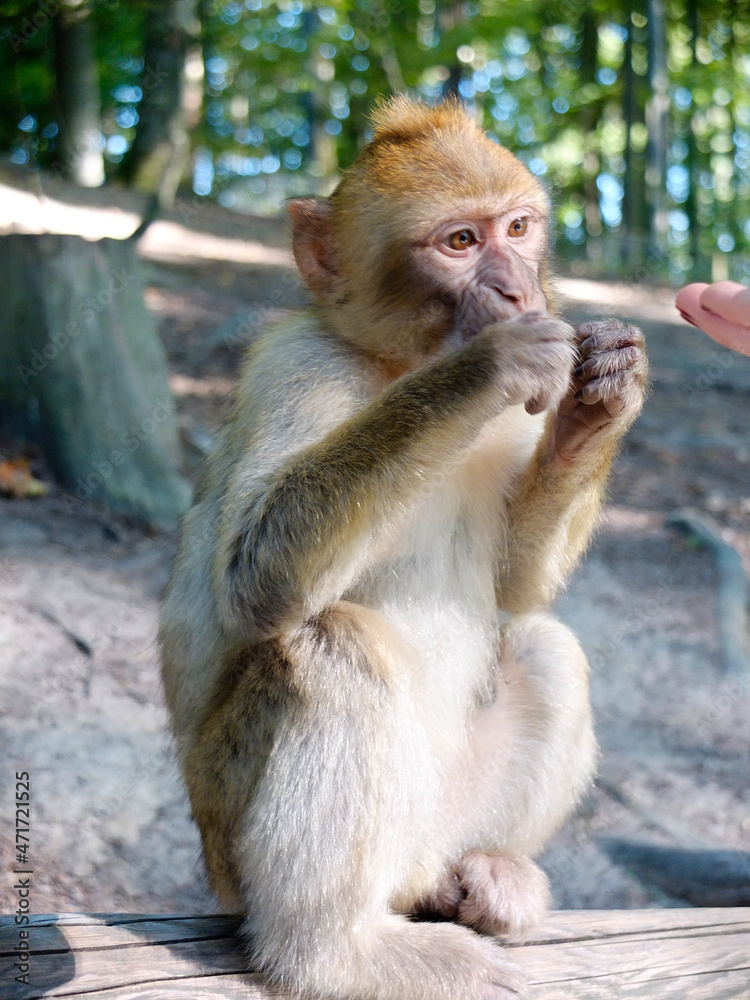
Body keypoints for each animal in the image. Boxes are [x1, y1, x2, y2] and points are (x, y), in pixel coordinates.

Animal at [160, 97, 648, 1000]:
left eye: (518, 227)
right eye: (459, 243)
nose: (518, 287)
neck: (393, 364)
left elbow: (515, 587)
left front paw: (606, 394)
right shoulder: (296, 366)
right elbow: (253, 577)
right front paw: (491, 359)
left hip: (445, 815)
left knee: (543, 646)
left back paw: (485, 875)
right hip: (233, 834)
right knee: (335, 644)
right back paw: (334, 953)